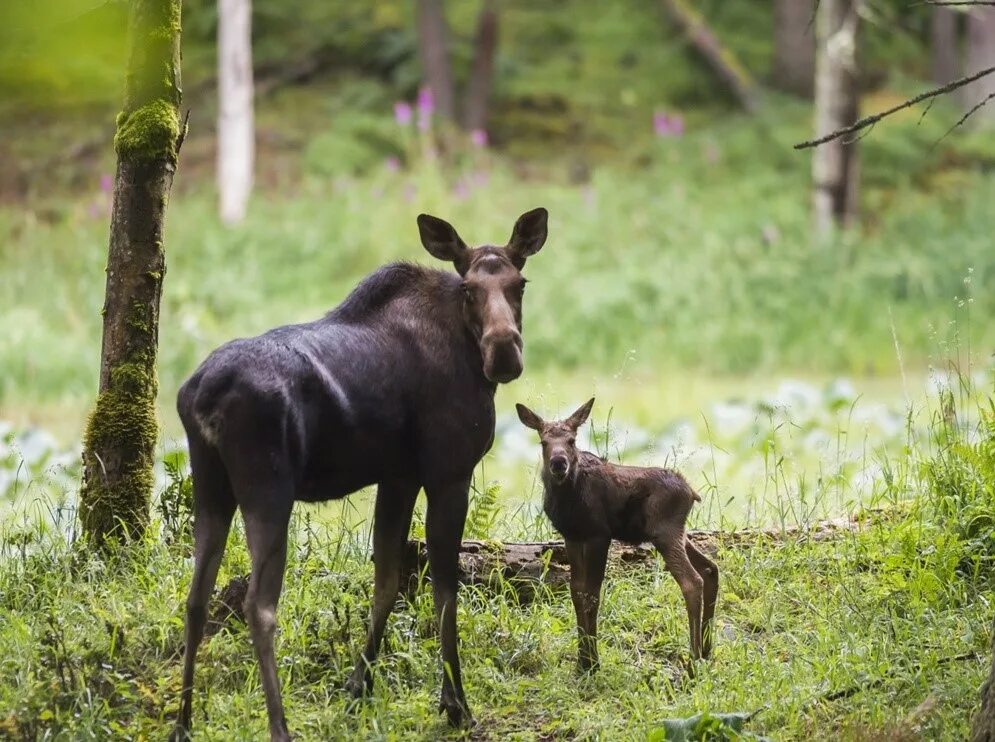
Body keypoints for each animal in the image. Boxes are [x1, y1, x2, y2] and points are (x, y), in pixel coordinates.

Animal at [169, 209, 544, 742]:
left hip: (210, 485)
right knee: (259, 607)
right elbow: (445, 591)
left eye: (520, 283)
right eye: (469, 288)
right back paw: (279, 727)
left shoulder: (398, 476)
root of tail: (200, 397)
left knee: (195, 600)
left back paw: (182, 724)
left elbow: (386, 581)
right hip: (268, 488)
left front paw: (357, 688)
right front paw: (456, 705)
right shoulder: (448, 472)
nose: (505, 353)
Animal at [516, 398, 720, 672]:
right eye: (543, 442)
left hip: (666, 533)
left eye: (572, 440)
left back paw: (693, 661)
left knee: (692, 580)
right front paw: (582, 662)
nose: (559, 463)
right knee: (710, 568)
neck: (568, 498)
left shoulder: (599, 535)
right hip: (679, 533)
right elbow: (576, 591)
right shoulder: (572, 536)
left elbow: (592, 593)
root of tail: (692, 493)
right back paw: (707, 651)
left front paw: (593, 662)